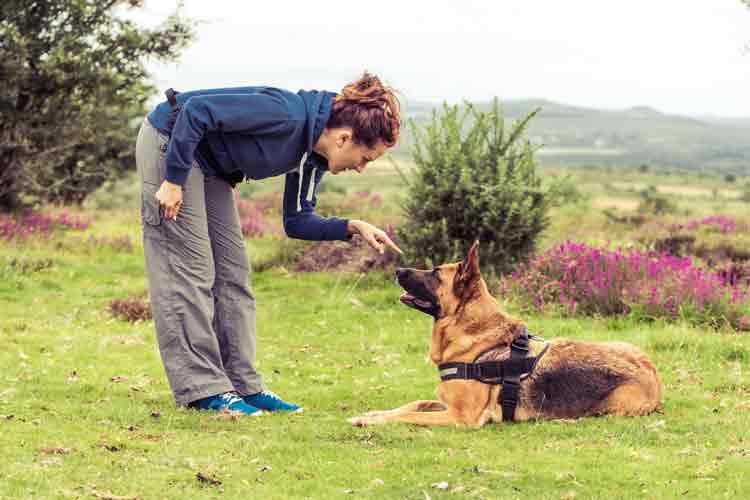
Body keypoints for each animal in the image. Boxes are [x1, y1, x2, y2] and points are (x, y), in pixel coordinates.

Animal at [350, 242, 660, 426]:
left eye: (436, 274)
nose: (397, 269)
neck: (471, 334)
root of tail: (654, 378)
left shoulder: (460, 416)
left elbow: (411, 414)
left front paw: (371, 421)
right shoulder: (443, 404)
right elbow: (413, 404)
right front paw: (371, 414)